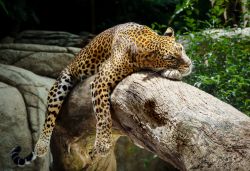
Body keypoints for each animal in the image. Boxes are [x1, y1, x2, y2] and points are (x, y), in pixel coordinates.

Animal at [10, 22, 192, 166]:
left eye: (181, 49)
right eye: (170, 58)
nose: (189, 63)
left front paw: (173, 72)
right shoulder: (101, 80)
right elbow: (103, 114)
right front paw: (103, 144)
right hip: (62, 83)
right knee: (49, 115)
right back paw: (41, 145)